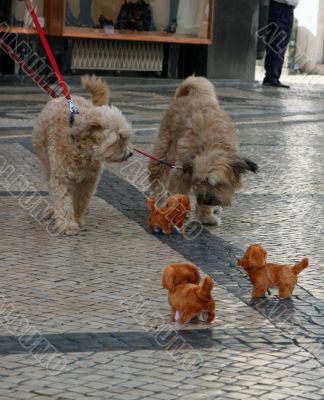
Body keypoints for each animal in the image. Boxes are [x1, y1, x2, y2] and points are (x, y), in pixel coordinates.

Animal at [32, 76, 133, 234]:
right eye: (120, 138)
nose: (130, 153)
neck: (82, 147)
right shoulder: (61, 177)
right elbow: (63, 201)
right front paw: (68, 224)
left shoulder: (88, 181)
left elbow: (80, 201)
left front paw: (77, 218)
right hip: (48, 166)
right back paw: (53, 212)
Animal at [149, 75, 258, 225]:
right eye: (199, 181)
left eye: (216, 183)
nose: (206, 200)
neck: (210, 146)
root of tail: (182, 97)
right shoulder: (181, 173)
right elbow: (177, 192)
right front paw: (174, 214)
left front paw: (206, 216)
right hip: (164, 151)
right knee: (158, 176)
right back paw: (158, 198)